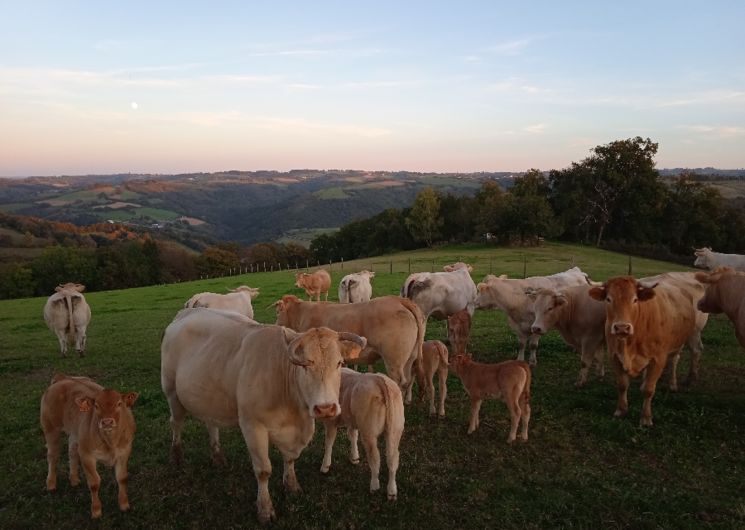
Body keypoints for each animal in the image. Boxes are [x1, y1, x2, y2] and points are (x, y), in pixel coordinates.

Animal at [40, 372, 139, 516]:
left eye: (119, 403)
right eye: (96, 406)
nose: (107, 422)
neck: (110, 442)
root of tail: (63, 378)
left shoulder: (124, 451)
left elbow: (122, 478)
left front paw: (124, 505)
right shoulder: (87, 455)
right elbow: (94, 483)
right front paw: (96, 510)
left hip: (76, 432)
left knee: (72, 451)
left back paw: (74, 479)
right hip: (50, 427)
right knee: (53, 455)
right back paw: (51, 484)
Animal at [161, 306, 364, 520]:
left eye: (339, 363)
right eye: (305, 365)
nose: (326, 408)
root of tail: (187, 312)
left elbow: (290, 458)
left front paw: (292, 485)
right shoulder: (252, 425)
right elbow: (263, 470)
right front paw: (265, 509)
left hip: (209, 395)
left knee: (211, 423)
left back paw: (217, 456)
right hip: (171, 391)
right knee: (176, 423)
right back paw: (176, 456)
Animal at [274, 292, 424, 400]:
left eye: (278, 312)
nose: (275, 324)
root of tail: (398, 300)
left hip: (394, 361)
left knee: (399, 382)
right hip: (410, 357)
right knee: (409, 378)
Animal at [318, 368, 404, 500]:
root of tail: (380, 380)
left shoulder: (331, 421)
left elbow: (329, 442)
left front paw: (325, 466)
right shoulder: (352, 420)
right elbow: (353, 436)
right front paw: (354, 458)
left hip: (369, 432)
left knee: (375, 457)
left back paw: (374, 486)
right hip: (395, 430)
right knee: (393, 458)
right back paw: (392, 491)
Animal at [588, 274, 704, 422]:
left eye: (635, 299)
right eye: (608, 299)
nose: (622, 328)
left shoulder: (658, 359)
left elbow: (649, 390)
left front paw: (646, 417)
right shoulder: (614, 356)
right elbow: (622, 385)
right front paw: (621, 410)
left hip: (680, 342)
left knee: (674, 361)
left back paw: (673, 384)